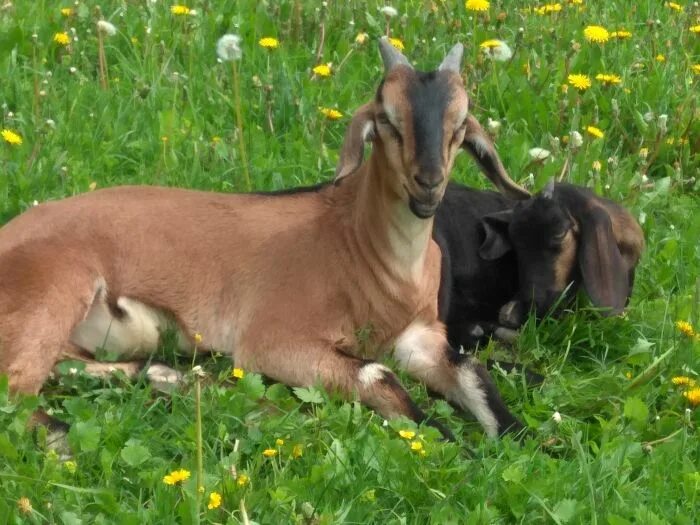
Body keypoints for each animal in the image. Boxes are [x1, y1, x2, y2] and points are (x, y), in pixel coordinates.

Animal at [0, 40, 528, 438]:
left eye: (459, 126)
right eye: (388, 120)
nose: (428, 185)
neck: (362, 250)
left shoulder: (420, 337)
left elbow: (471, 372)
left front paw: (525, 440)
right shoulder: (274, 341)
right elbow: (376, 374)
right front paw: (448, 441)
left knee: (67, 365)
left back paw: (168, 377)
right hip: (56, 288)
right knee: (17, 387)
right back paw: (63, 437)